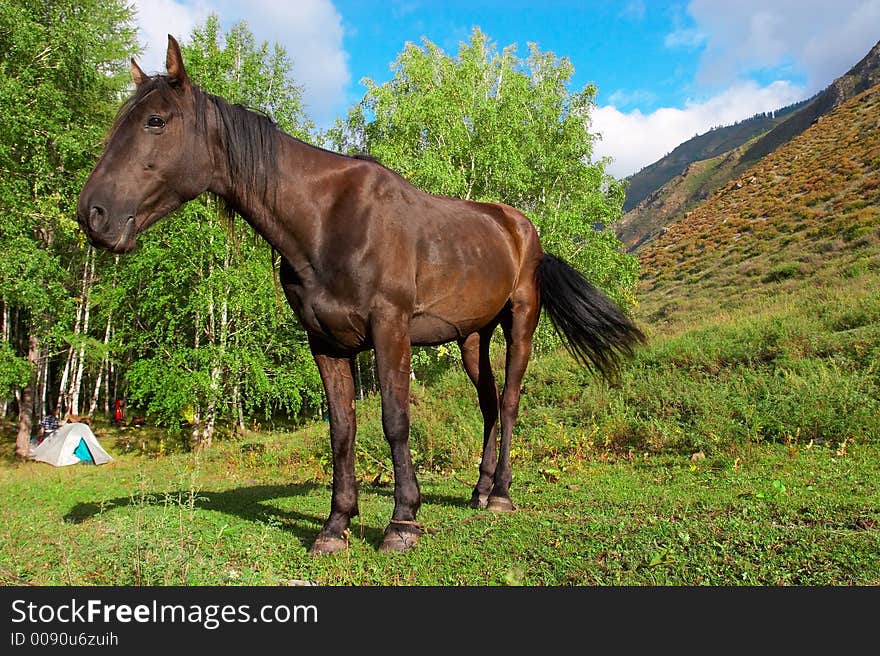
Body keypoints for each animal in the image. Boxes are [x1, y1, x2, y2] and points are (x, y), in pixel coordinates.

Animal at [79, 36, 644, 552]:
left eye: (156, 121)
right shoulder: (325, 342)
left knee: (507, 402)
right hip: (471, 337)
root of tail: (521, 228)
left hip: (520, 319)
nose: (94, 215)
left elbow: (395, 420)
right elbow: (342, 430)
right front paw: (335, 527)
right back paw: (480, 492)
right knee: (486, 403)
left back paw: (502, 493)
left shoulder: (389, 329)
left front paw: (402, 522)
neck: (327, 221)